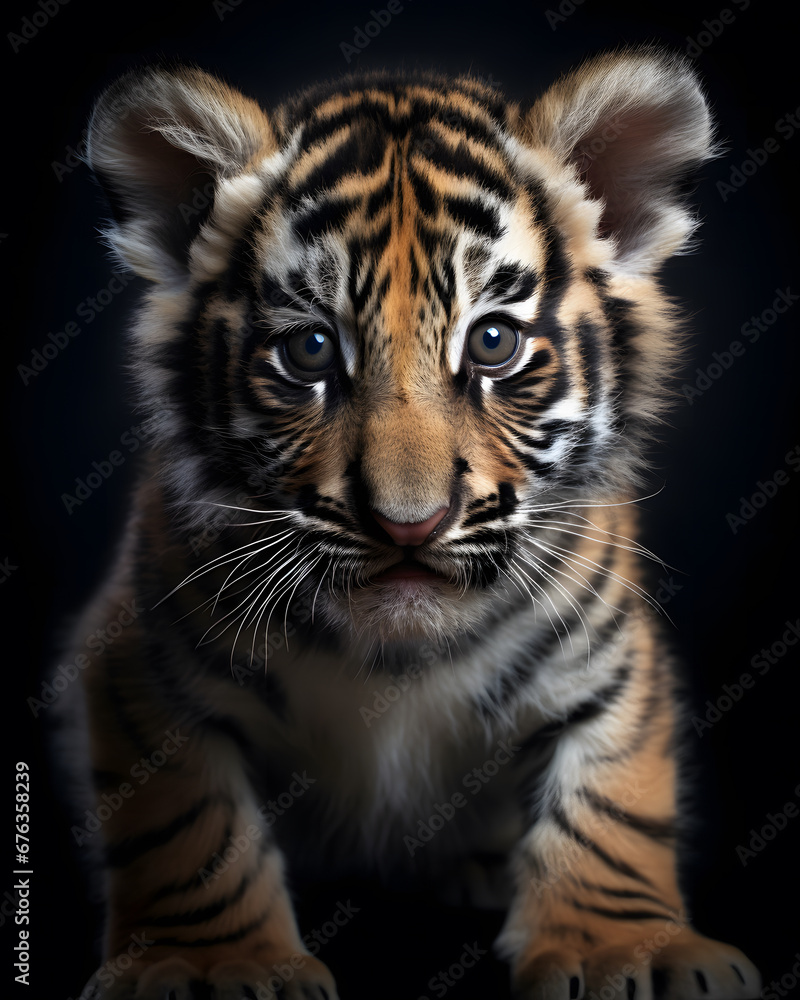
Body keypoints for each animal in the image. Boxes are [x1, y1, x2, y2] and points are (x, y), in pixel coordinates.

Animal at [66, 47, 763, 999]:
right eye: (311, 350)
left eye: (494, 342)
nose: (409, 525)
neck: (396, 658)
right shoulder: (140, 664)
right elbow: (187, 824)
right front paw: (210, 960)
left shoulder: (616, 658)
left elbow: (613, 799)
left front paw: (621, 948)